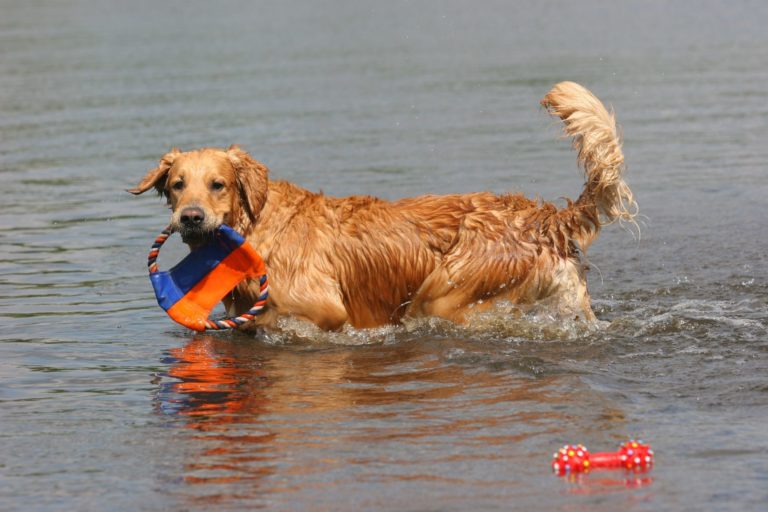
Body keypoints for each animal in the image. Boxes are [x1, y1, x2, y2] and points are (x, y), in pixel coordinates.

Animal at [130, 83, 636, 332]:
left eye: (217, 185)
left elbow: (281, 316)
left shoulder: (325, 308)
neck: (257, 228)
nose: (191, 217)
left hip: (443, 293)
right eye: (177, 186)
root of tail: (544, 217)